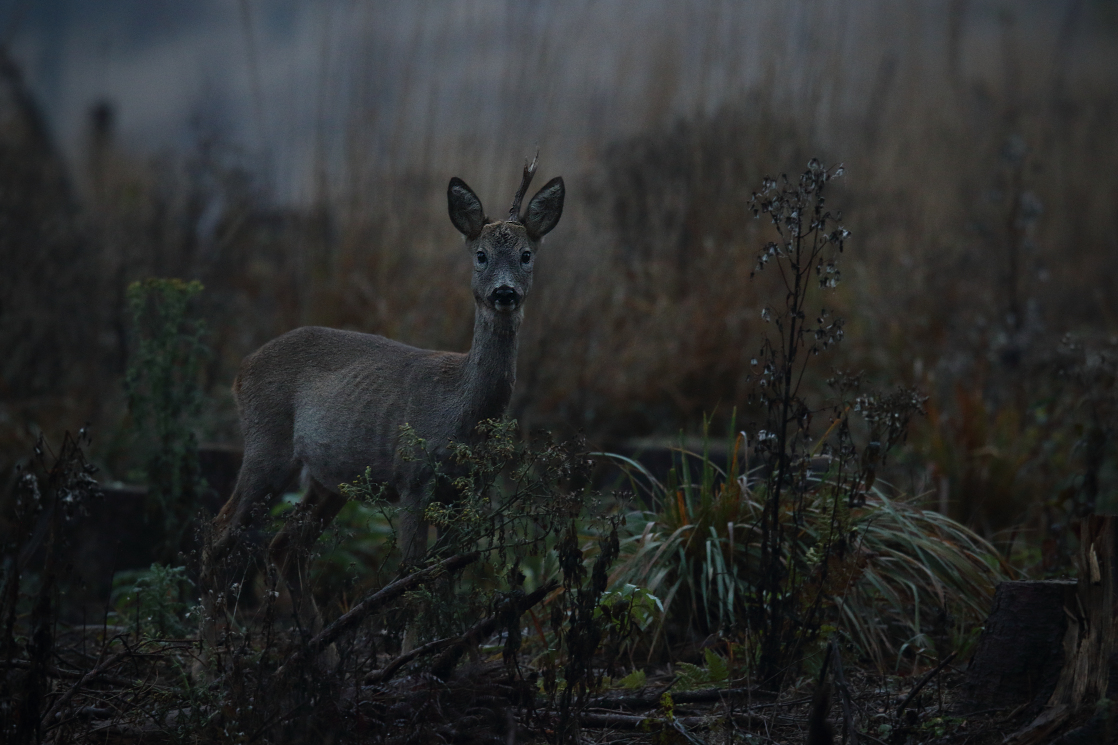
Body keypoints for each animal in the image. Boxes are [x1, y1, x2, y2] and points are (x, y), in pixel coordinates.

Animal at [197, 157, 563, 648]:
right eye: (481, 255)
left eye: (526, 255)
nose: (504, 293)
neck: (460, 415)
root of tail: (242, 367)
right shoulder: (414, 478)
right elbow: (413, 575)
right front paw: (413, 655)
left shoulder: (465, 491)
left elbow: (448, 574)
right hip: (267, 445)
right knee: (220, 531)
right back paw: (206, 652)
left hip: (331, 479)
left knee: (287, 544)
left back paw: (319, 649)